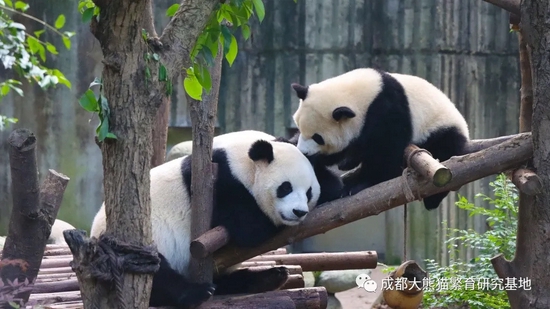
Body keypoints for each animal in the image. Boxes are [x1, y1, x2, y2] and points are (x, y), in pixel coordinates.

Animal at [89, 129, 344, 306]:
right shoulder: (217, 182)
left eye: (309, 192)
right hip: (138, 244)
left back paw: (270, 276)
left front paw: (339, 186)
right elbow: (249, 228)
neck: (241, 159)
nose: (298, 212)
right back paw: (197, 293)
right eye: (285, 188)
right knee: (157, 273)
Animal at [292, 67, 472, 211]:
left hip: (440, 131)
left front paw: (358, 184)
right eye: (299, 127)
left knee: (443, 151)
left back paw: (432, 200)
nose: (304, 152)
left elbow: (386, 153)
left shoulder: (388, 110)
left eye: (318, 138)